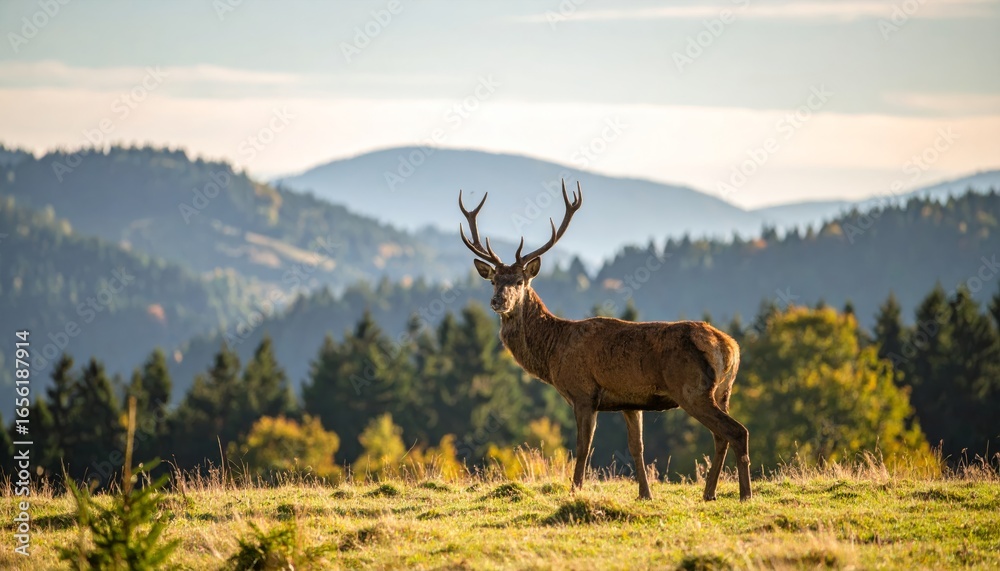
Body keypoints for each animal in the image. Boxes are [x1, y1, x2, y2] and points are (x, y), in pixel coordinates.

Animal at [457, 180, 752, 501]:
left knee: (736, 431)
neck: (553, 352)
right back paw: (709, 493)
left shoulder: (583, 393)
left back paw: (745, 494)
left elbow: (583, 447)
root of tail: (730, 347)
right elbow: (636, 448)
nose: (497, 301)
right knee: (721, 436)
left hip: (692, 390)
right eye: (494, 280)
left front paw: (575, 489)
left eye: (519, 281)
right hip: (722, 392)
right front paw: (645, 494)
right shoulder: (630, 401)